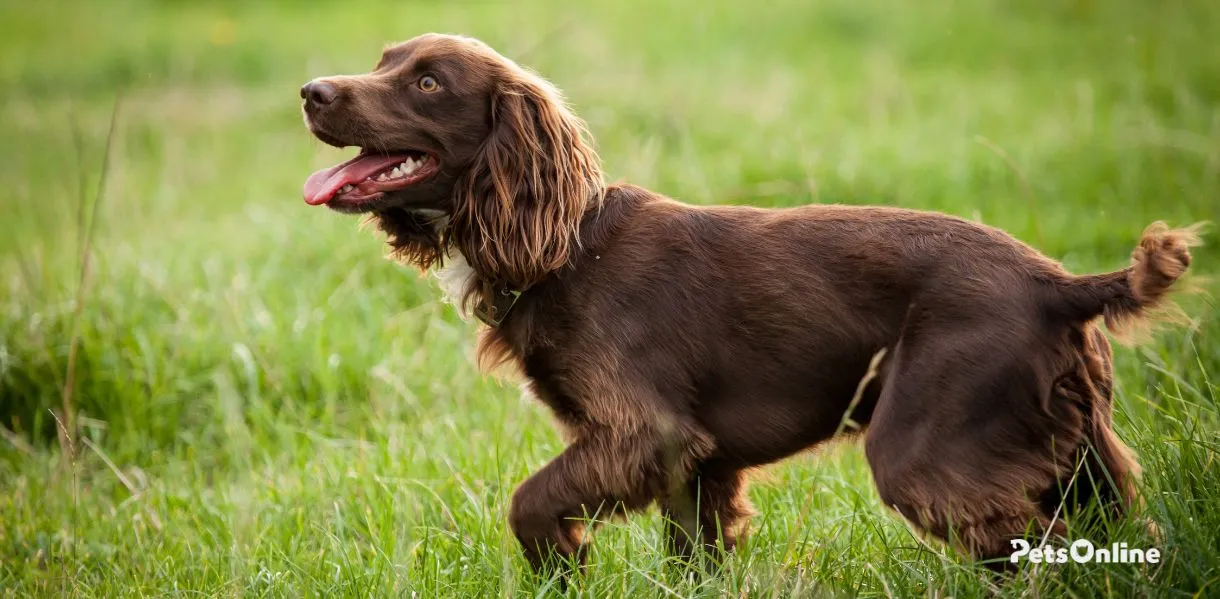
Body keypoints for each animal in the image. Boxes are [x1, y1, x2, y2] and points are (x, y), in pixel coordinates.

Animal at [300, 35, 1195, 573]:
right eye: (384, 59)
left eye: (426, 81)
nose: (310, 90)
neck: (566, 247)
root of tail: (1059, 284)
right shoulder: (698, 464)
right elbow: (692, 555)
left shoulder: (645, 433)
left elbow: (529, 501)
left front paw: (565, 564)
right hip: (1081, 452)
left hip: (927, 448)